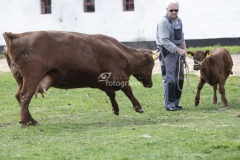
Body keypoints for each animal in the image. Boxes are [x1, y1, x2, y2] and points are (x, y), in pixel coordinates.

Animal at [2, 30, 159, 127]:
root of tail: (13, 36)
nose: (150, 84)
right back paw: (27, 121)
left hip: (21, 79)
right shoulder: (119, 76)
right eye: (151, 64)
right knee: (25, 96)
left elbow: (111, 94)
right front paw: (138, 107)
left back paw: (28, 119)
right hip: (32, 77)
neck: (122, 53)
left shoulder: (106, 81)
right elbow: (128, 90)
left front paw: (115, 109)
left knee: (19, 96)